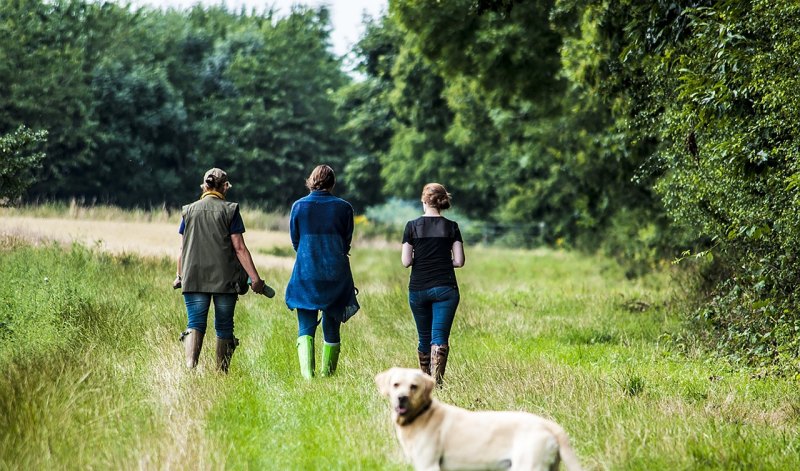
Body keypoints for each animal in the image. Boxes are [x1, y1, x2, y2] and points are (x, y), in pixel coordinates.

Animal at [376, 368, 580, 471]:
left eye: (414, 386)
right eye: (395, 384)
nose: (401, 398)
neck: (422, 414)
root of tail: (549, 425)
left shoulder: (428, 465)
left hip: (527, 465)